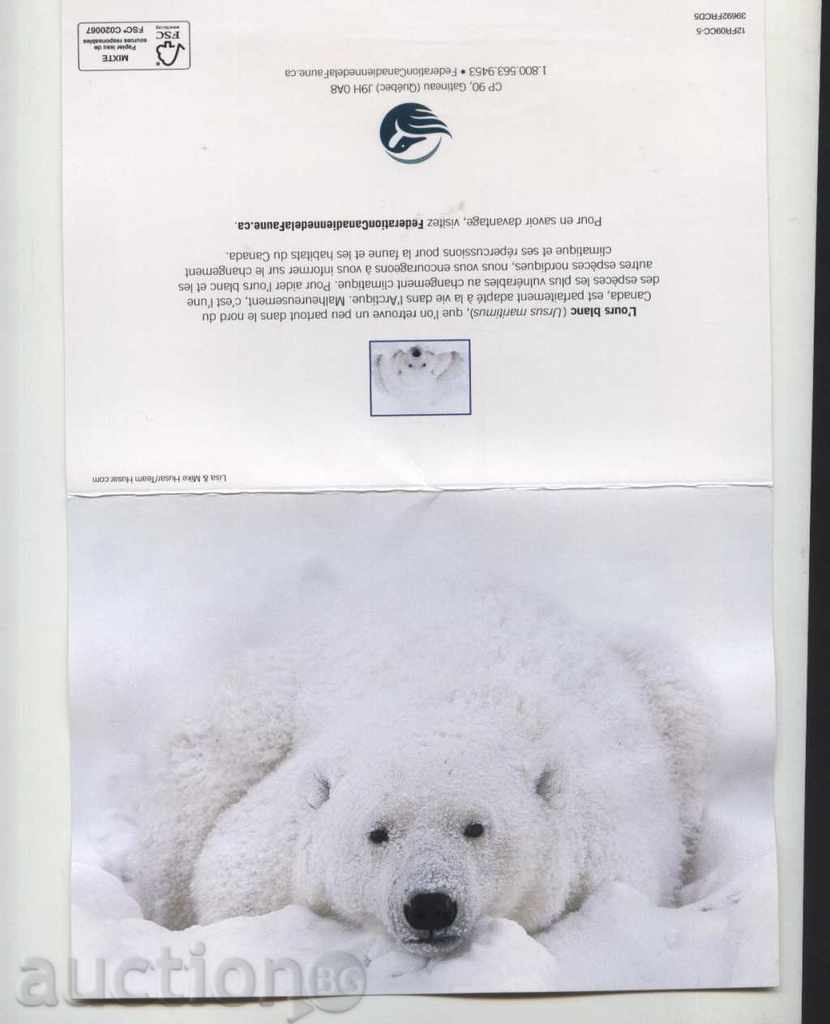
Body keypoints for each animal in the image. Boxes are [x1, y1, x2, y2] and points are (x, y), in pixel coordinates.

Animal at [133, 577, 712, 957]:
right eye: (377, 833)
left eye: (476, 827)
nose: (430, 905)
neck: (449, 708)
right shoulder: (286, 829)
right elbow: (231, 870)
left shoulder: (604, 841)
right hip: (266, 690)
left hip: (655, 679)